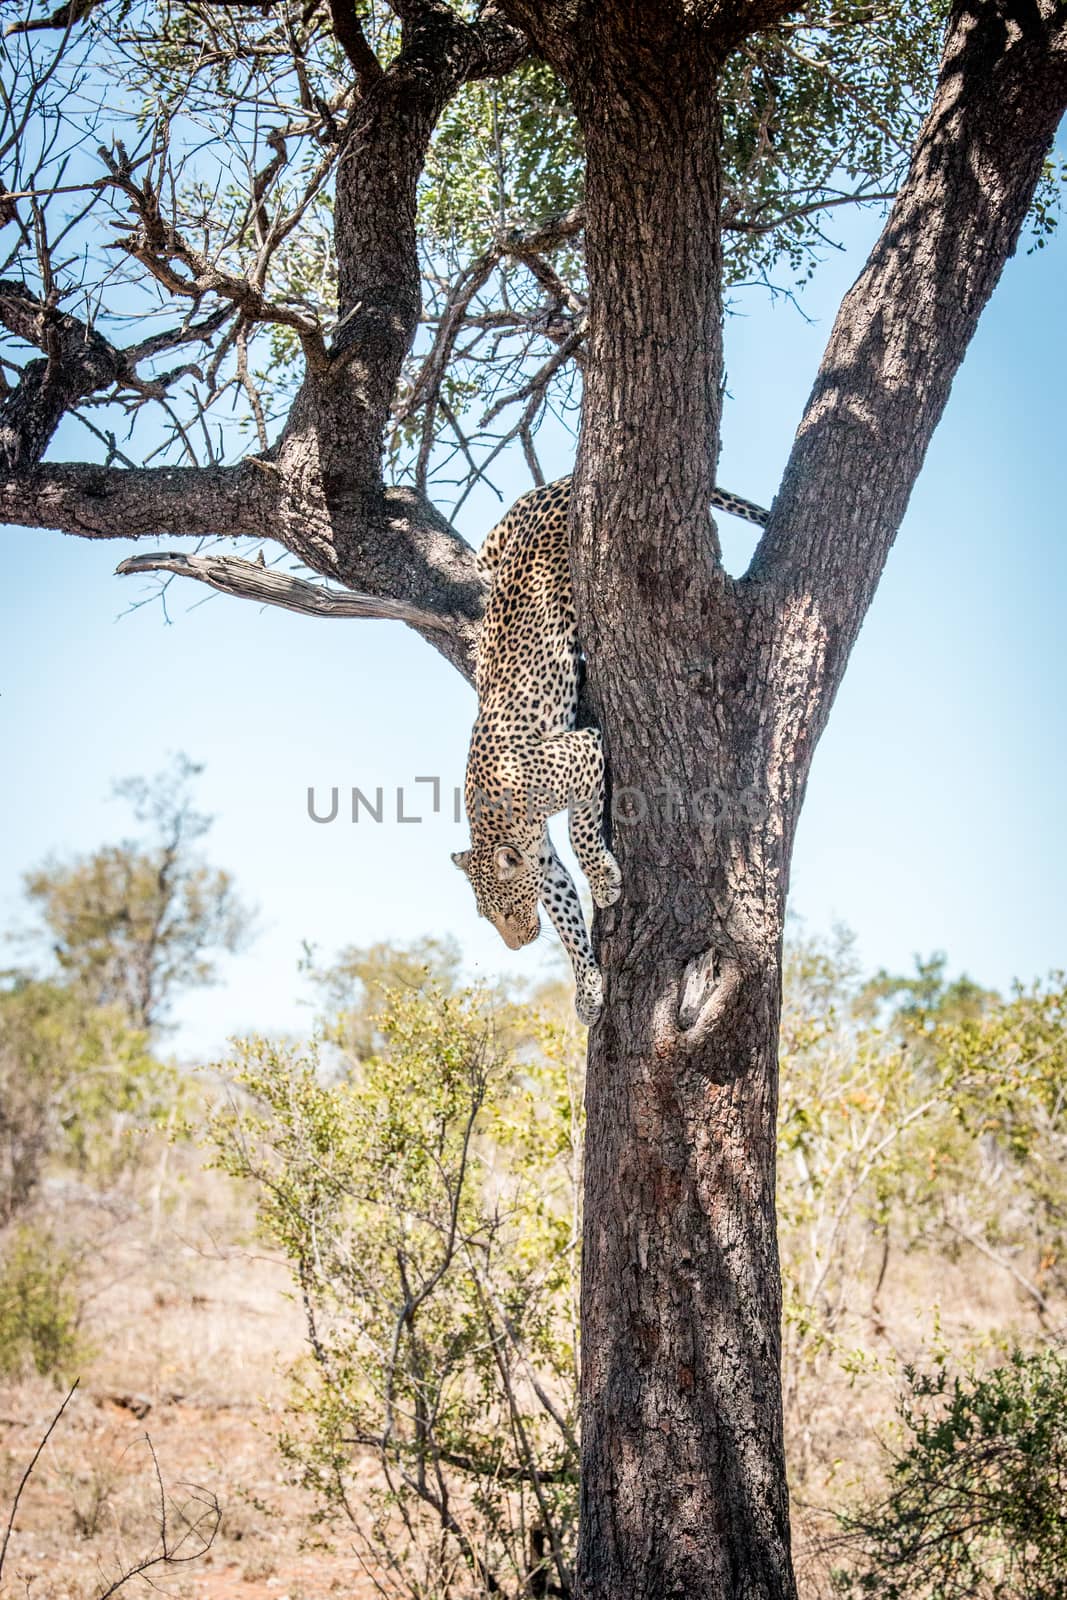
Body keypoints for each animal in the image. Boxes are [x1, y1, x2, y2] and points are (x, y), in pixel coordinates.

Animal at [451, 473, 767, 1024]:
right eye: (489, 918)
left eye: (507, 911)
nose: (517, 945)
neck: (496, 820)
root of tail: (559, 483)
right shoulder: (543, 860)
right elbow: (566, 920)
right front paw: (588, 991)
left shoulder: (587, 749)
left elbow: (580, 834)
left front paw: (604, 881)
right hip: (492, 547)